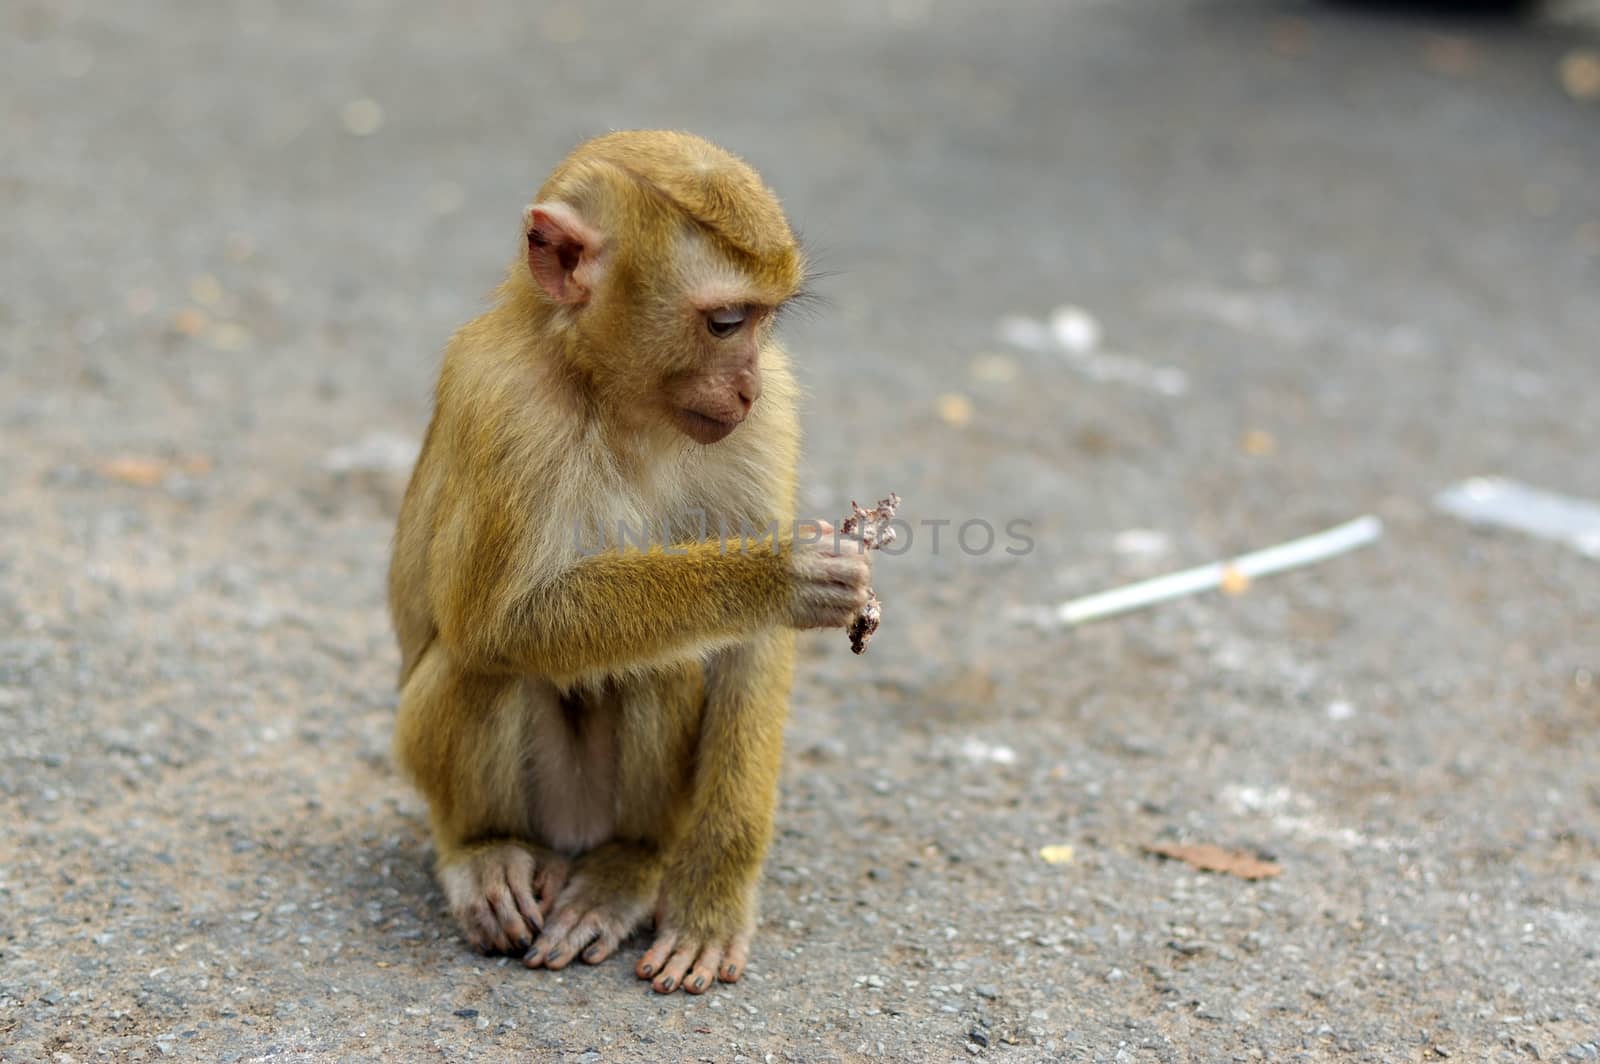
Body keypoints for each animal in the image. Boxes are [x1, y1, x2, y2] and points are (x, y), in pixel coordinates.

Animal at [390, 128, 876, 992]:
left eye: (762, 326)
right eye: (725, 322)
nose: (747, 386)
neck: (616, 397)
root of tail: (572, 838)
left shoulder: (770, 418)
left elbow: (749, 654)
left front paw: (711, 898)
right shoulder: (504, 406)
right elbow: (499, 620)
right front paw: (772, 575)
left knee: (663, 667)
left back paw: (629, 865)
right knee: (483, 663)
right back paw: (483, 850)